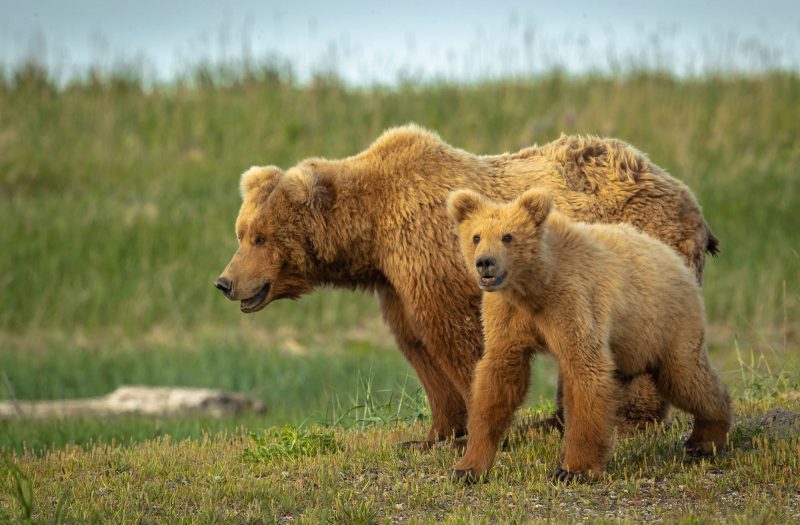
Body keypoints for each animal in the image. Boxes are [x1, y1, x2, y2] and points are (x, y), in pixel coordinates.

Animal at [214, 124, 720, 446]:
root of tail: (690, 200)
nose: (225, 282)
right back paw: (557, 420)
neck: (373, 231)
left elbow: (458, 339)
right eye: (241, 232)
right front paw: (433, 435)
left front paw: (481, 426)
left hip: (643, 246)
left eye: (260, 237)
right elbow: (418, 343)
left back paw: (628, 420)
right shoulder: (397, 280)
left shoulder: (434, 256)